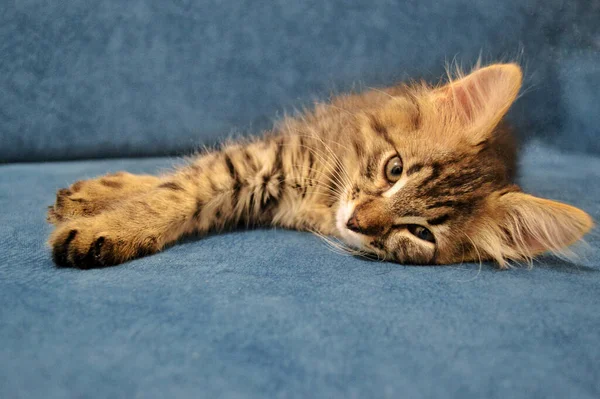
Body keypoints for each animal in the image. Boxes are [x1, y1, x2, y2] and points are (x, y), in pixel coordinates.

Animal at [45, 65, 592, 268]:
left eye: (421, 233)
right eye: (395, 170)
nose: (358, 222)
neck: (324, 196)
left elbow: (184, 191)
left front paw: (107, 225)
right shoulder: (262, 160)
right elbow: (177, 190)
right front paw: (110, 222)